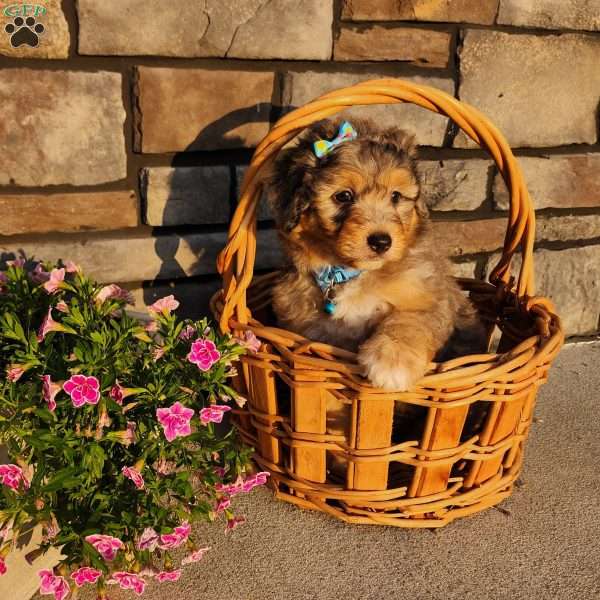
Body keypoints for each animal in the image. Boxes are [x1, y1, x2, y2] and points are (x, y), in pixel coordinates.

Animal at [264, 118, 486, 392]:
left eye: (396, 196)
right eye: (343, 196)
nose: (381, 242)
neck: (351, 273)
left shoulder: (430, 295)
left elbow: (409, 321)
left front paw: (392, 361)